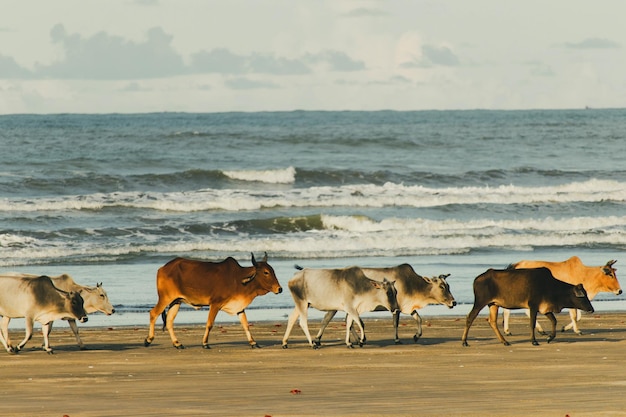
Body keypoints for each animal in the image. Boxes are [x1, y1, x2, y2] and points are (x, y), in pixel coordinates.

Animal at [144, 252, 280, 350]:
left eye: (273, 271)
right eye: (266, 272)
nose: (280, 289)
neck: (237, 279)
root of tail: (163, 268)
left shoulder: (239, 307)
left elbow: (246, 324)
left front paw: (253, 342)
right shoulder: (215, 304)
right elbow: (209, 324)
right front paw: (205, 343)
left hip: (176, 301)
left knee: (169, 321)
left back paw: (177, 343)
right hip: (165, 298)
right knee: (153, 313)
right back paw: (148, 340)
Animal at [310, 266, 454, 344]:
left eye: (448, 286)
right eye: (442, 286)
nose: (454, 302)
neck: (411, 284)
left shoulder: (407, 307)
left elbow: (419, 319)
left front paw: (416, 336)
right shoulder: (396, 308)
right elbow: (396, 324)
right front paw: (397, 340)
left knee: (347, 321)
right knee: (327, 319)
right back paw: (317, 339)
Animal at [460, 268, 592, 346]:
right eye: (582, 296)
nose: (591, 309)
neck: (550, 286)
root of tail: (476, 279)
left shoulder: (545, 308)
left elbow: (554, 321)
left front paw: (550, 338)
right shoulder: (533, 306)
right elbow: (532, 323)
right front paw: (534, 341)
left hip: (493, 304)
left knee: (492, 321)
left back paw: (504, 341)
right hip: (480, 302)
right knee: (470, 318)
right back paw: (464, 341)